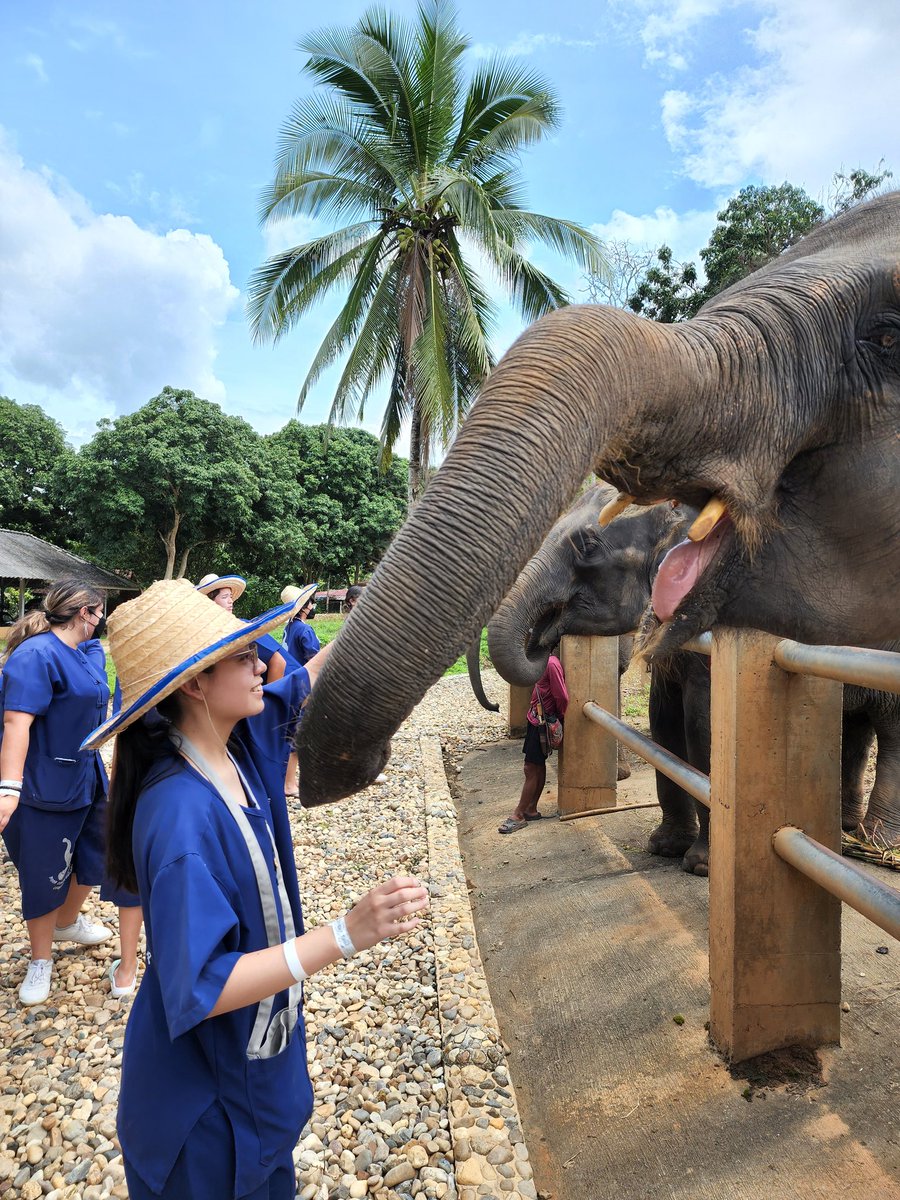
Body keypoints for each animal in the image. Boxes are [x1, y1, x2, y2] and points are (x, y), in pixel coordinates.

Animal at [487, 484, 900, 873]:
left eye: (588, 546)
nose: (543, 641)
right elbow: (664, 721)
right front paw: (664, 847)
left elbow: (702, 726)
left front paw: (700, 865)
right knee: (858, 729)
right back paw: (845, 832)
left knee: (892, 735)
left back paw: (877, 845)